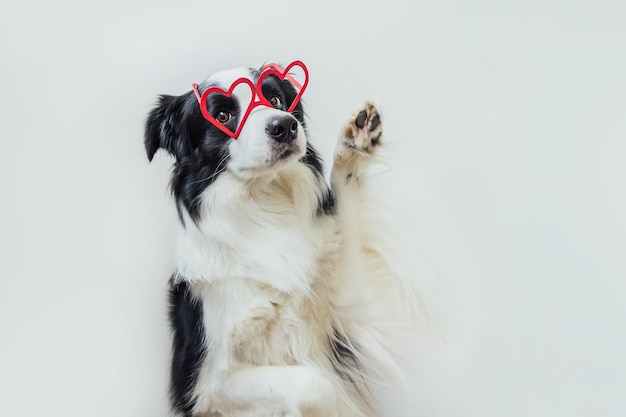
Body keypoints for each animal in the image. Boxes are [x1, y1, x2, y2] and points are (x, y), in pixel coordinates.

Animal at [145, 61, 428, 416]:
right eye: (222, 115)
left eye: (276, 99)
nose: (284, 125)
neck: (263, 203)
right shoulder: (205, 384)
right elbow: (316, 384)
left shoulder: (344, 306)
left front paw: (356, 140)